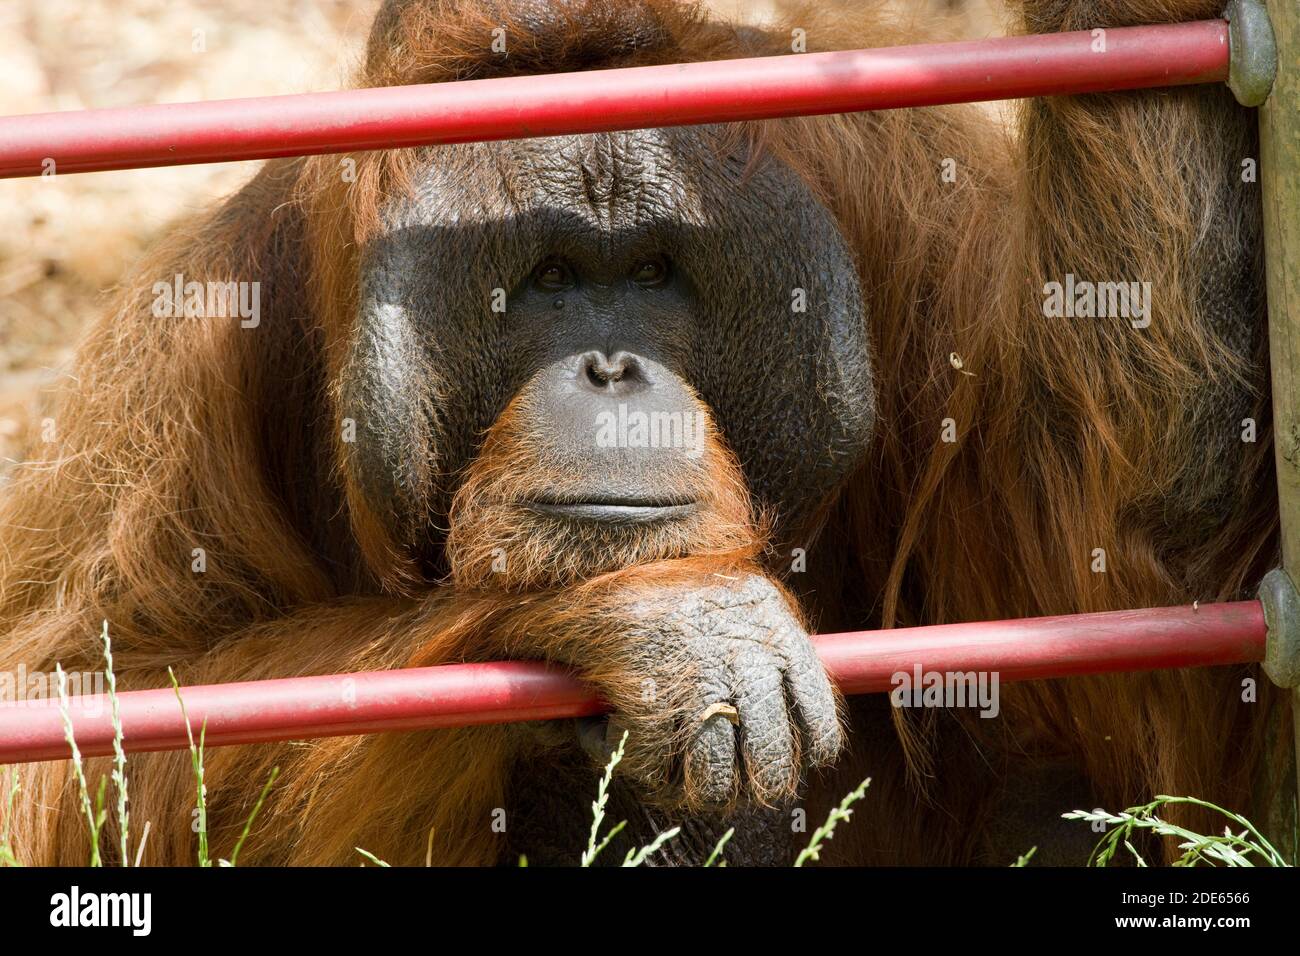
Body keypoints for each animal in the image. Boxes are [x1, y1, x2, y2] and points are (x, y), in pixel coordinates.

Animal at [0, 0, 1284, 866]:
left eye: (658, 271)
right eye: (553, 276)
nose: (612, 367)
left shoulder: (921, 239)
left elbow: (1133, 582)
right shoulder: (199, 349)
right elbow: (84, 730)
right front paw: (656, 614)